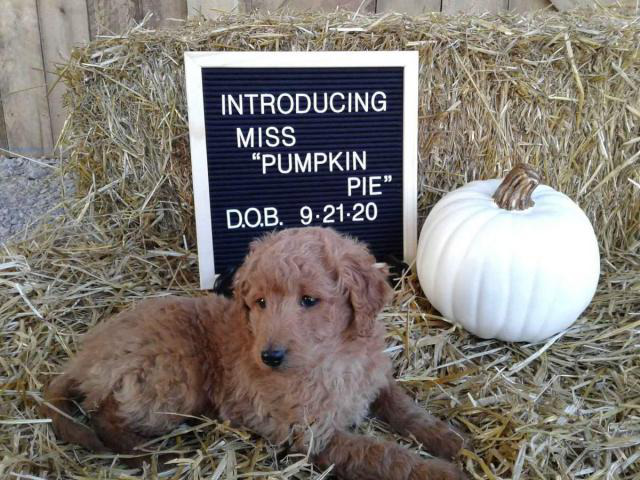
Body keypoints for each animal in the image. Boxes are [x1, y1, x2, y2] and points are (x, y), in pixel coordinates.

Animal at [43, 227, 464, 478]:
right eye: (260, 302)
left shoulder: (375, 381)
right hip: (169, 380)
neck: (333, 359)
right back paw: (149, 455)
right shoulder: (311, 435)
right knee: (104, 415)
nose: (270, 357)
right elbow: (382, 455)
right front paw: (440, 472)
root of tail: (84, 356)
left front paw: (449, 439)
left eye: (309, 300)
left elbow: (406, 409)